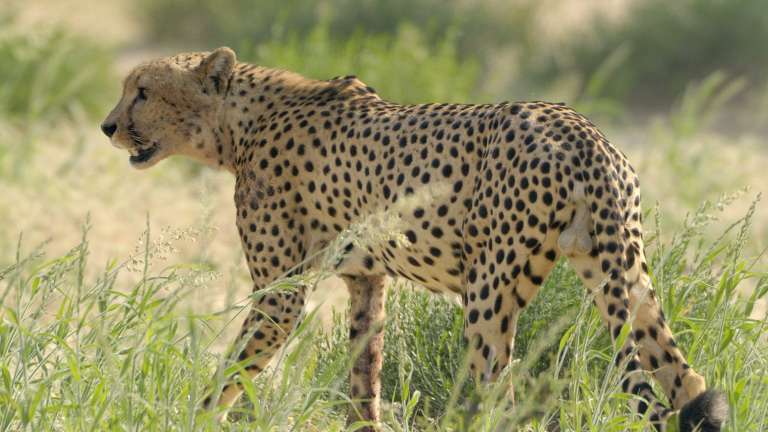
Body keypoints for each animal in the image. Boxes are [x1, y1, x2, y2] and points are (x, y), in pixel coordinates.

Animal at [101, 47, 728, 432]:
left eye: (143, 91)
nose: (108, 126)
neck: (238, 122)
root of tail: (580, 130)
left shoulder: (279, 295)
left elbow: (229, 375)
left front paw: (189, 416)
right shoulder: (365, 278)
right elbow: (364, 375)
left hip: (489, 292)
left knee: (494, 393)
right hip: (621, 270)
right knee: (687, 379)